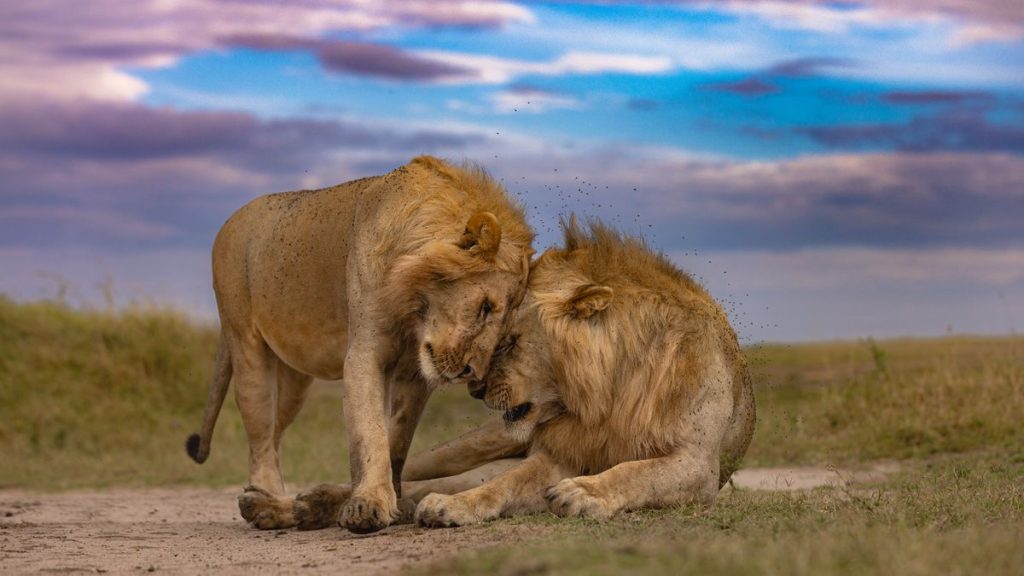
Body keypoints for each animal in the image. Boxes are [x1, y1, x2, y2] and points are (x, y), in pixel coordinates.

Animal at [185, 156, 533, 533]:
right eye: (486, 307)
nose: (472, 373)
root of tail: (231, 219)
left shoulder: (415, 372)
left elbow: (397, 438)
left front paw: (391, 500)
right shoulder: (365, 352)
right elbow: (370, 432)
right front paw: (369, 505)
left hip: (294, 382)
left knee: (276, 431)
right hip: (246, 344)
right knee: (261, 436)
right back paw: (265, 498)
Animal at [294, 218, 755, 528]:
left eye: (511, 341)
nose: (475, 389)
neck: (605, 397)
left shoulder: (697, 465)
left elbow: (636, 472)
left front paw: (584, 492)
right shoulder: (560, 454)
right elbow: (506, 485)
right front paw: (454, 506)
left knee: (425, 484)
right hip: (472, 444)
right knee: (407, 473)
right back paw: (316, 503)